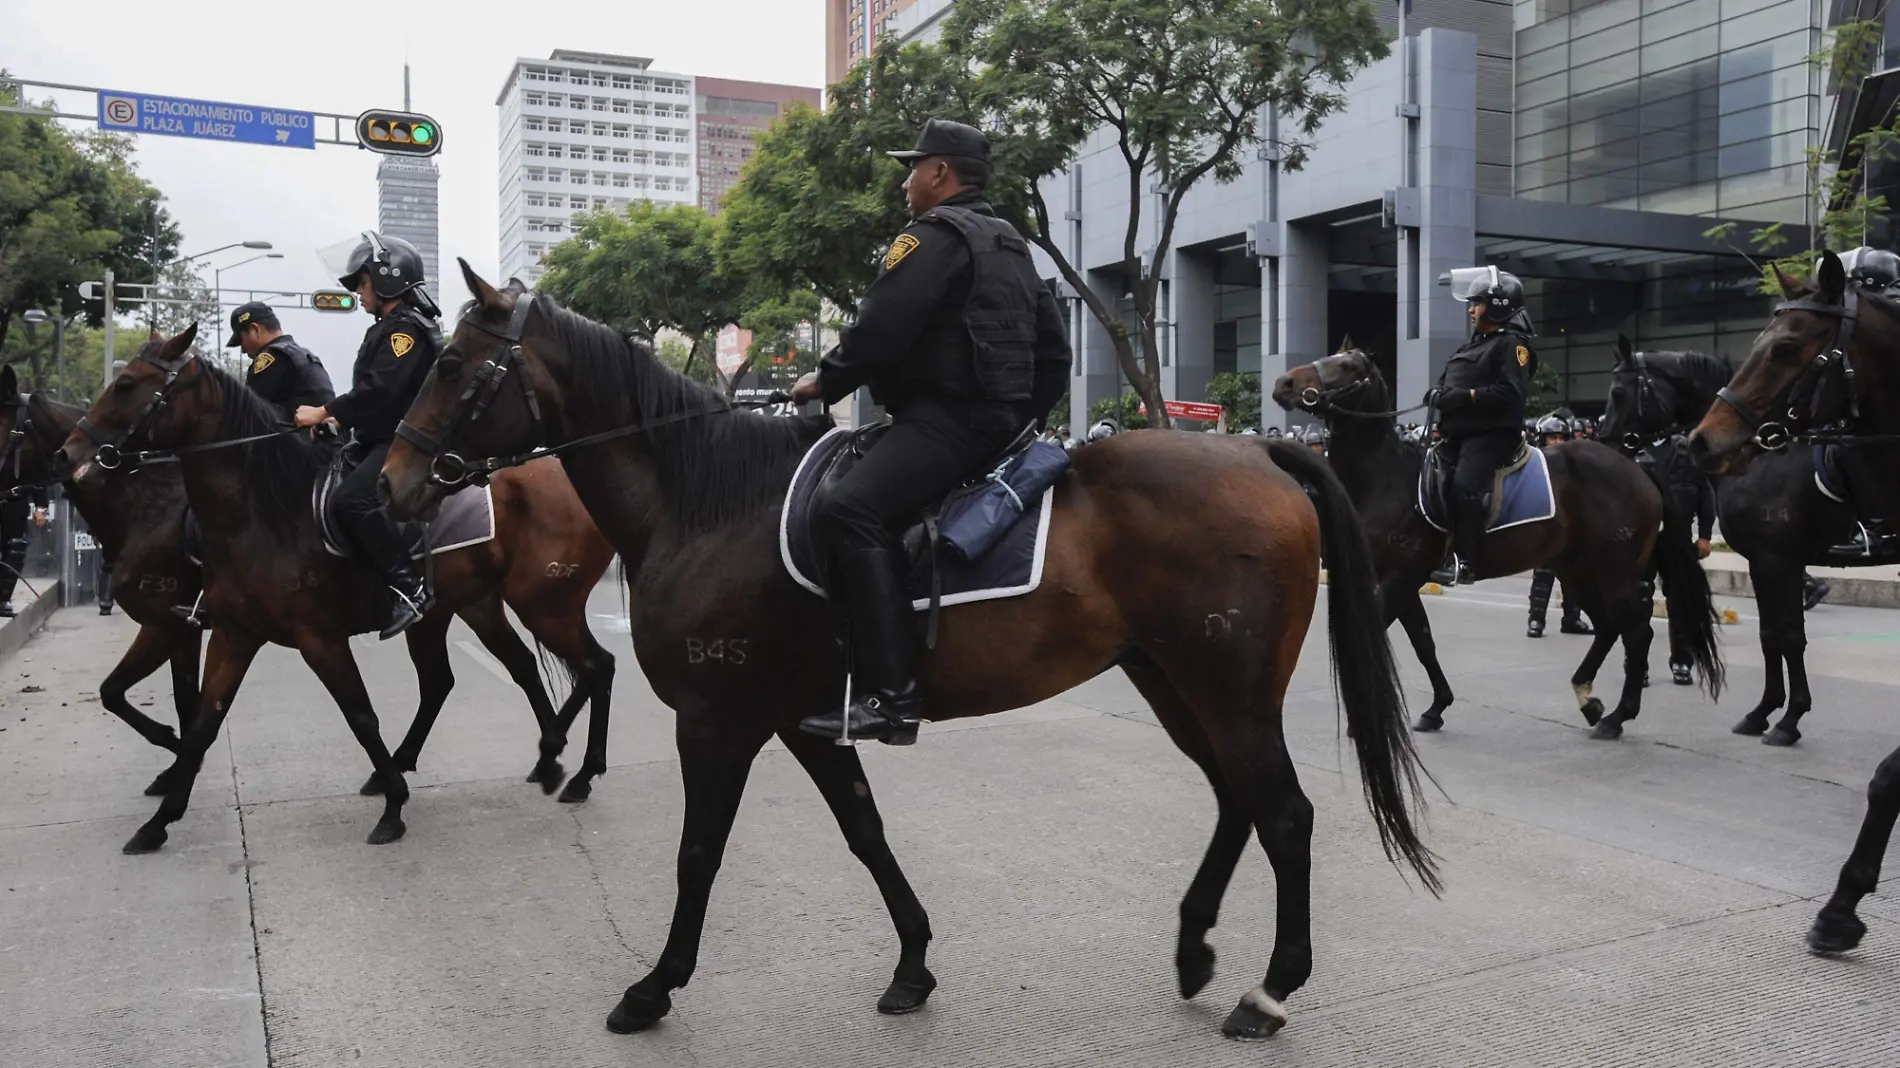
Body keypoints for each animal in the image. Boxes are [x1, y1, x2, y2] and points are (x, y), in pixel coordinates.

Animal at [55, 323, 615, 847]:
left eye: (126, 385)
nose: (68, 452)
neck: (262, 512)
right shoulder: (231, 635)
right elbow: (199, 726)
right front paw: (160, 820)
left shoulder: (311, 638)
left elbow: (360, 716)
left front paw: (394, 808)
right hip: (471, 605)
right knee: (497, 672)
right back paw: (545, 758)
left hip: (544, 603)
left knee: (597, 666)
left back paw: (580, 771)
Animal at [374, 264, 1436, 1041]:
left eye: (455, 365)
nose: (390, 482)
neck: (709, 500)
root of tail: (1261, 453)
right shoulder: (805, 723)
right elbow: (866, 834)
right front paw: (914, 964)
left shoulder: (717, 723)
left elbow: (698, 854)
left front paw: (655, 986)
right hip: (1173, 680)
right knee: (1236, 799)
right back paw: (1194, 948)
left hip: (1227, 689)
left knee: (1285, 813)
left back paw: (1270, 989)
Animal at [1269, 345, 1732, 737]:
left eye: (1347, 365)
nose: (1284, 384)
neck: (1384, 479)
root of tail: (1636, 467)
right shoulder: (1402, 581)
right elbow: (1423, 641)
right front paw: (1437, 706)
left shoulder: (1399, 578)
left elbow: (1372, 640)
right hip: (1578, 569)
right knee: (1609, 627)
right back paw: (1589, 698)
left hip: (1614, 571)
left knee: (1635, 632)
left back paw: (1618, 716)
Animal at [1694, 247, 1900, 946]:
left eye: (1785, 347)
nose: (1701, 442)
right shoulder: (1770, 563)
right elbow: (1775, 636)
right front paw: (1770, 713)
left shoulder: (1777, 559)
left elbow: (1785, 635)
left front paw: (1784, 717)